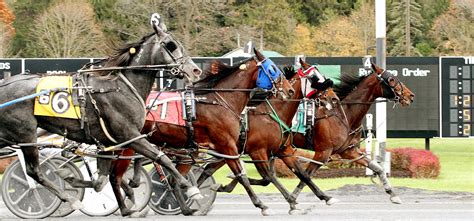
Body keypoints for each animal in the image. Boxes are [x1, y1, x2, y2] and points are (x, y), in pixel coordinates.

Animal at [0, 12, 202, 212]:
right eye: (171, 45)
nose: (195, 70)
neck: (121, 87)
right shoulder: (130, 135)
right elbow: (162, 158)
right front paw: (189, 187)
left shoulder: (108, 143)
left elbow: (101, 181)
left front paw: (72, 178)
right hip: (26, 134)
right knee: (33, 171)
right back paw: (69, 199)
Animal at [110, 48, 296, 216]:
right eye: (272, 69)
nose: (290, 90)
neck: (220, 102)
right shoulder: (229, 145)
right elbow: (241, 175)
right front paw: (261, 205)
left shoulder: (209, 149)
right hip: (130, 144)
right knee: (115, 175)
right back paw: (127, 203)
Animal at [193, 58, 340, 214]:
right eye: (314, 77)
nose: (334, 98)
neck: (272, 114)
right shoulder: (257, 151)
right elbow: (269, 176)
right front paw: (290, 201)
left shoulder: (283, 150)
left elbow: (302, 174)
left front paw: (325, 197)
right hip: (227, 148)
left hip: (227, 151)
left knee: (208, 169)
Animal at [288, 61, 414, 204]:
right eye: (391, 79)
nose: (410, 95)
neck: (344, 116)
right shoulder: (323, 153)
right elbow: (306, 175)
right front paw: (294, 197)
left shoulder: (349, 151)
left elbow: (378, 168)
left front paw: (392, 194)